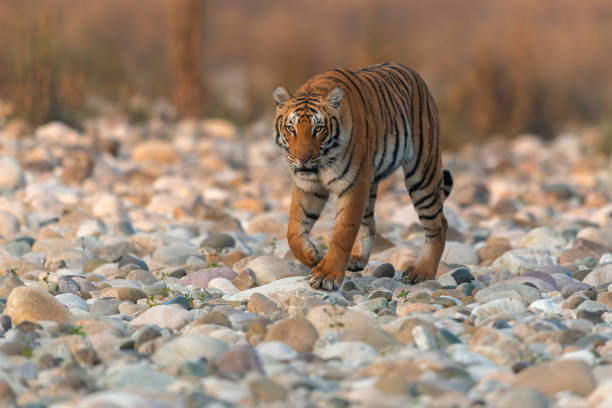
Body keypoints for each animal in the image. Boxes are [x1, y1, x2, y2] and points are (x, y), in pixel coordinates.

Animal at [272, 62, 450, 290]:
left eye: (318, 129)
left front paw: (326, 275)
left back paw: (422, 272)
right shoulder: (308, 186)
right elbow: (293, 231)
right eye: (291, 128)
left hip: (422, 173)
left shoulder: (353, 184)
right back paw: (357, 259)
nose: (302, 159)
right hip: (371, 181)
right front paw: (314, 256)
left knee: (439, 224)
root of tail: (415, 75)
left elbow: (343, 232)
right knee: (370, 222)